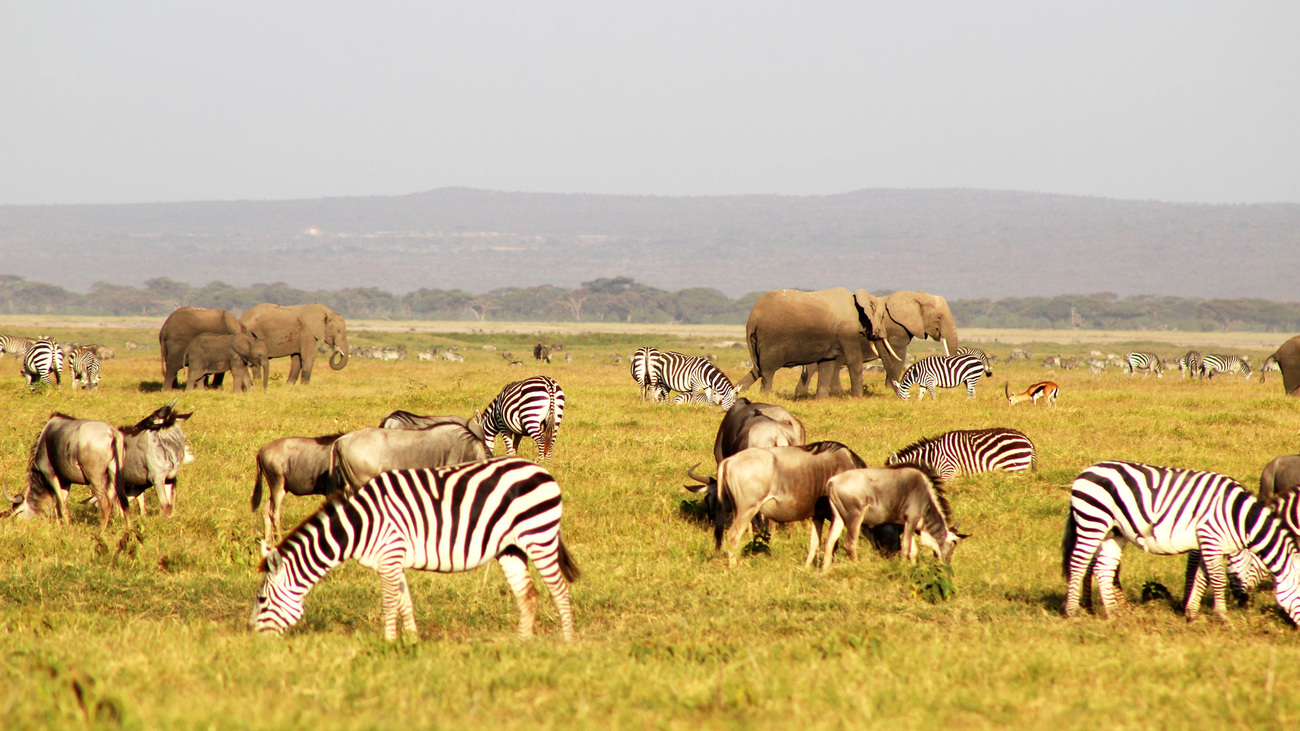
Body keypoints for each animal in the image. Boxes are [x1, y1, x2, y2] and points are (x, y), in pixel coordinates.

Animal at [250, 457, 577, 639]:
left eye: (262, 600)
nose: (254, 643)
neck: (361, 523)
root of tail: (540, 469)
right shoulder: (393, 559)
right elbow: (404, 602)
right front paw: (411, 643)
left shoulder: (389, 555)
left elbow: (388, 603)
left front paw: (388, 642)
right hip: (511, 547)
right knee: (528, 594)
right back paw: (523, 644)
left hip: (539, 536)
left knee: (559, 590)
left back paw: (568, 643)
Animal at [738, 286, 899, 398]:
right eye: (883, 317)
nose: (901, 397)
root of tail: (751, 320)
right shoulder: (847, 331)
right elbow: (854, 360)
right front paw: (858, 399)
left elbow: (827, 364)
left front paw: (821, 400)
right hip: (771, 338)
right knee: (768, 370)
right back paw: (765, 397)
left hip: (759, 341)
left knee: (758, 369)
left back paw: (738, 392)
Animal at [795, 288, 961, 395]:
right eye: (939, 317)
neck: (914, 296)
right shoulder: (896, 330)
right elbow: (898, 356)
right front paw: (889, 390)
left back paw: (802, 394)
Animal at [1066, 460, 1300, 619]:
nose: (1245, 603)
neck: (1239, 518)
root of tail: (1087, 470)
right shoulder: (1210, 537)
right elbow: (1216, 578)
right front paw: (1222, 616)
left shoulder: (1210, 543)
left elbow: (1201, 577)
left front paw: (1191, 614)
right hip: (1093, 520)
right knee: (1078, 564)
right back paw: (1073, 611)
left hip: (1113, 531)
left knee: (1103, 568)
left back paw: (1113, 613)